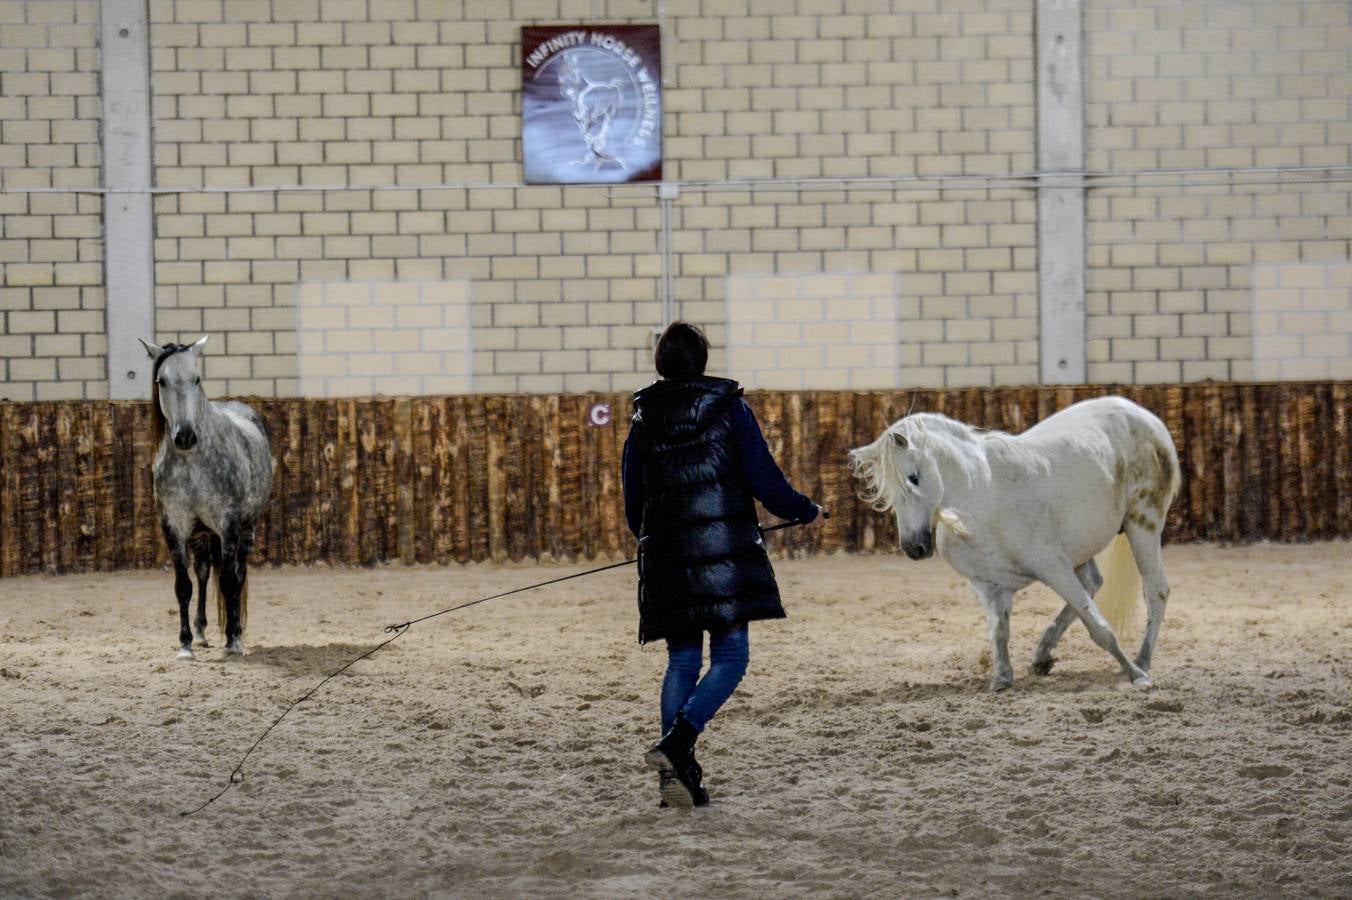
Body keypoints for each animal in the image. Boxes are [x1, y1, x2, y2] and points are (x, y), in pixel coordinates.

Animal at [141, 336, 273, 659]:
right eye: (162, 381)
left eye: (196, 378)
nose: (185, 436)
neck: (193, 462)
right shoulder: (174, 526)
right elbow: (183, 585)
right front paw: (185, 644)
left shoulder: (228, 525)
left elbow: (228, 580)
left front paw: (233, 641)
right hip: (202, 534)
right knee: (202, 573)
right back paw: (201, 632)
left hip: (246, 528)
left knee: (237, 573)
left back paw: (235, 633)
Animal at [849, 397, 1178, 689]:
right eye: (888, 491)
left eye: (913, 478)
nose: (914, 548)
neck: (981, 497)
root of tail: (1145, 417)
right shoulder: (989, 586)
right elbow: (999, 631)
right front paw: (1002, 679)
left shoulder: (1054, 568)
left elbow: (1099, 627)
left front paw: (1136, 675)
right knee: (1094, 582)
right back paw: (1043, 655)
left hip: (1143, 524)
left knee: (1156, 591)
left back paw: (1142, 660)